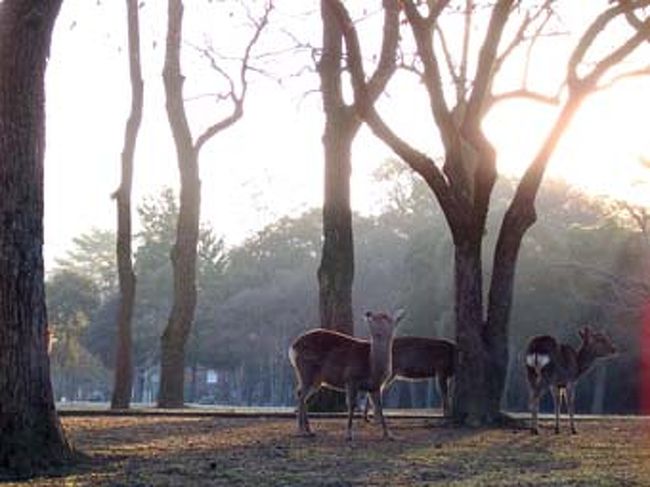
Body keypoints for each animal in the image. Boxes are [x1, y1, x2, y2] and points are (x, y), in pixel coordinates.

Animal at [288, 309, 404, 441]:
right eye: (375, 317)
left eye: (386, 317)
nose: (368, 313)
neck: (371, 366)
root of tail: (292, 347)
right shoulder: (351, 378)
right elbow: (352, 405)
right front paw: (349, 434)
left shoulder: (375, 386)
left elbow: (379, 408)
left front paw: (389, 435)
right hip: (306, 371)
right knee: (301, 394)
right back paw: (301, 431)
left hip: (316, 379)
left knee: (302, 394)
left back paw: (309, 430)